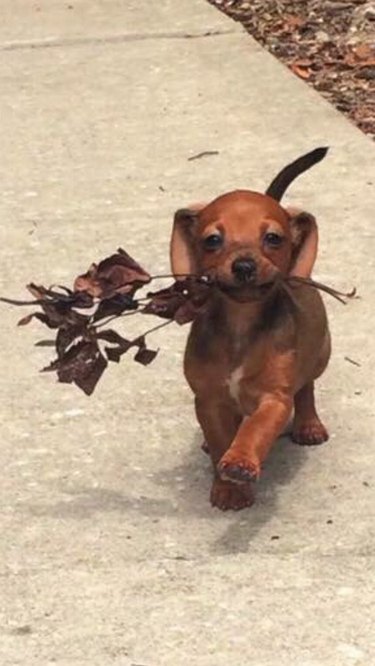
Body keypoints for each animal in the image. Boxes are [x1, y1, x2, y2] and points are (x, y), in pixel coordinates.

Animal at [170, 148, 332, 508]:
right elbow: (220, 438)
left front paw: (240, 462)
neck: (240, 325)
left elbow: (254, 429)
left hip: (320, 355)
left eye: (273, 238)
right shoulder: (209, 399)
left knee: (307, 388)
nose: (243, 265)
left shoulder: (274, 399)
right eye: (212, 240)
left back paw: (309, 425)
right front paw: (228, 486)